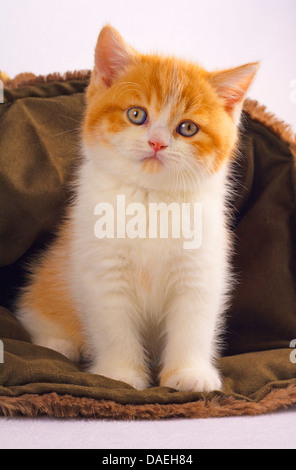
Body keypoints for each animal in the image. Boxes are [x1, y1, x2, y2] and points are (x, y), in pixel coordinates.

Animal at [16, 26, 258, 392]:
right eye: (136, 114)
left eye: (188, 127)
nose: (157, 142)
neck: (150, 199)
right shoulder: (101, 269)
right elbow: (114, 326)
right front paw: (122, 374)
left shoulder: (200, 268)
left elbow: (193, 322)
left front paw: (189, 373)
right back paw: (58, 343)